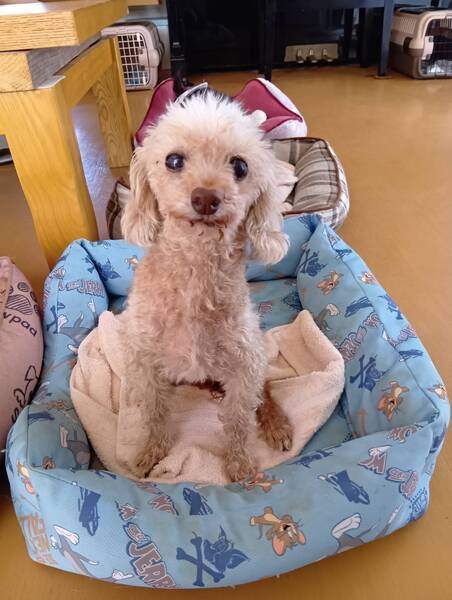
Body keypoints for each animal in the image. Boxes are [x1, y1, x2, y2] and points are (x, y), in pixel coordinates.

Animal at [120, 88, 295, 481]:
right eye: (173, 160)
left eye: (240, 166)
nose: (205, 198)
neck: (195, 269)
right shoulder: (146, 361)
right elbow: (154, 414)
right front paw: (150, 453)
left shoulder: (245, 363)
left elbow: (239, 420)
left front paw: (240, 464)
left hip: (256, 350)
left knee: (266, 389)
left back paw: (276, 424)